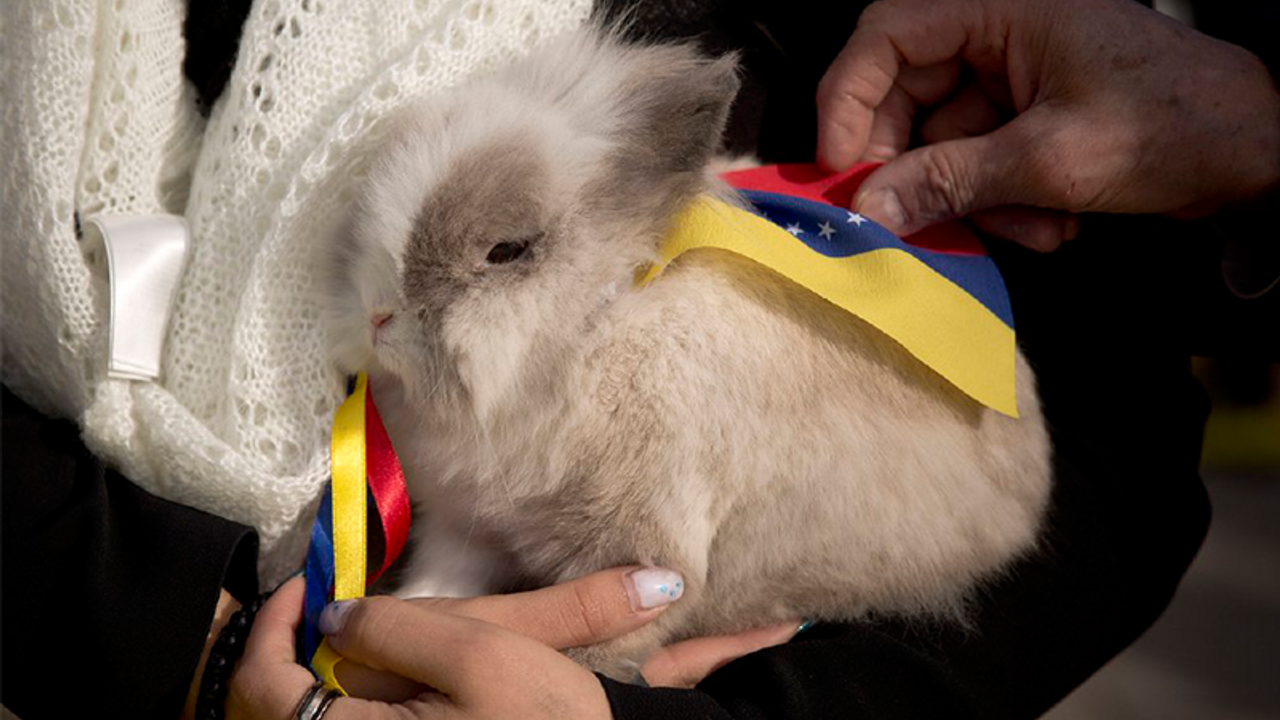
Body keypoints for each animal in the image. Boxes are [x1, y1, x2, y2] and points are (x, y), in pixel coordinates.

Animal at [327, 26, 1049, 676]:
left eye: (507, 251)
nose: (378, 314)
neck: (590, 339)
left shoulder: (646, 555)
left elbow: (606, 646)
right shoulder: (467, 525)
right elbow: (446, 578)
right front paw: (414, 608)